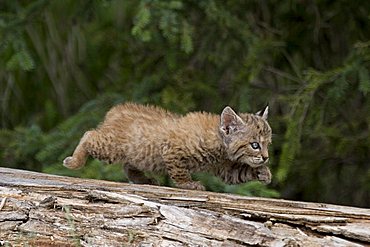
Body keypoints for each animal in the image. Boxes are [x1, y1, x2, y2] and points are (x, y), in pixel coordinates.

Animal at [62, 103, 272, 190]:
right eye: (255, 145)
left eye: (267, 144)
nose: (266, 157)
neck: (219, 143)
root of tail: (116, 110)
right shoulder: (172, 150)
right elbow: (179, 171)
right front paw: (188, 184)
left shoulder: (223, 167)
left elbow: (239, 173)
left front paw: (263, 172)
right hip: (112, 147)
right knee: (89, 135)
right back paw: (74, 162)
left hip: (138, 153)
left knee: (129, 166)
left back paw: (145, 180)